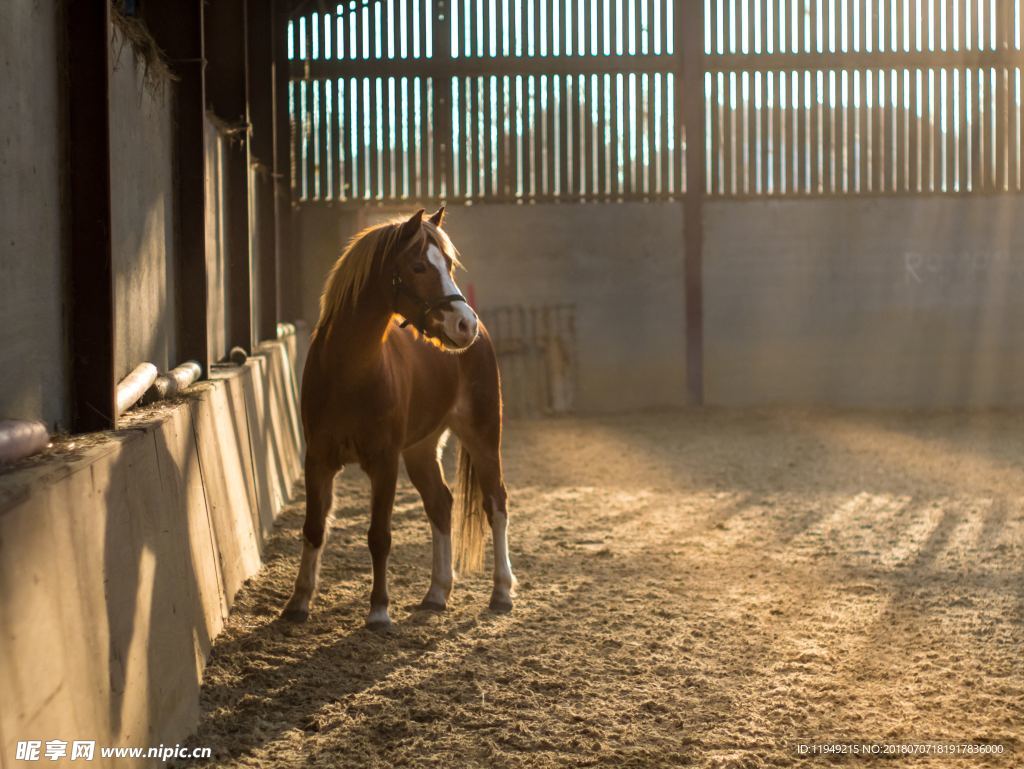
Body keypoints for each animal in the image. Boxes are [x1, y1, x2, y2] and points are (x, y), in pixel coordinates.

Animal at [282, 207, 516, 626]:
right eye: (419, 266)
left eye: (449, 265)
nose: (464, 324)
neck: (349, 371)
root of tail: (484, 336)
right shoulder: (318, 459)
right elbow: (313, 528)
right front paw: (298, 602)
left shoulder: (384, 461)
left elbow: (379, 536)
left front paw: (378, 611)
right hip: (421, 450)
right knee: (440, 504)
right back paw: (437, 593)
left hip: (484, 436)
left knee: (496, 503)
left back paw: (501, 592)